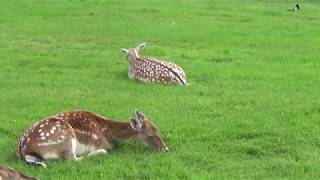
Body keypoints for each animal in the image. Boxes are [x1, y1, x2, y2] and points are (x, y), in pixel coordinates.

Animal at [15, 109, 168, 167]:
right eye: (150, 135)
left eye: (158, 130)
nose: (165, 149)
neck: (108, 132)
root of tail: (23, 152)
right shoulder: (101, 142)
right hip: (65, 138)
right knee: (72, 159)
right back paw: (99, 153)